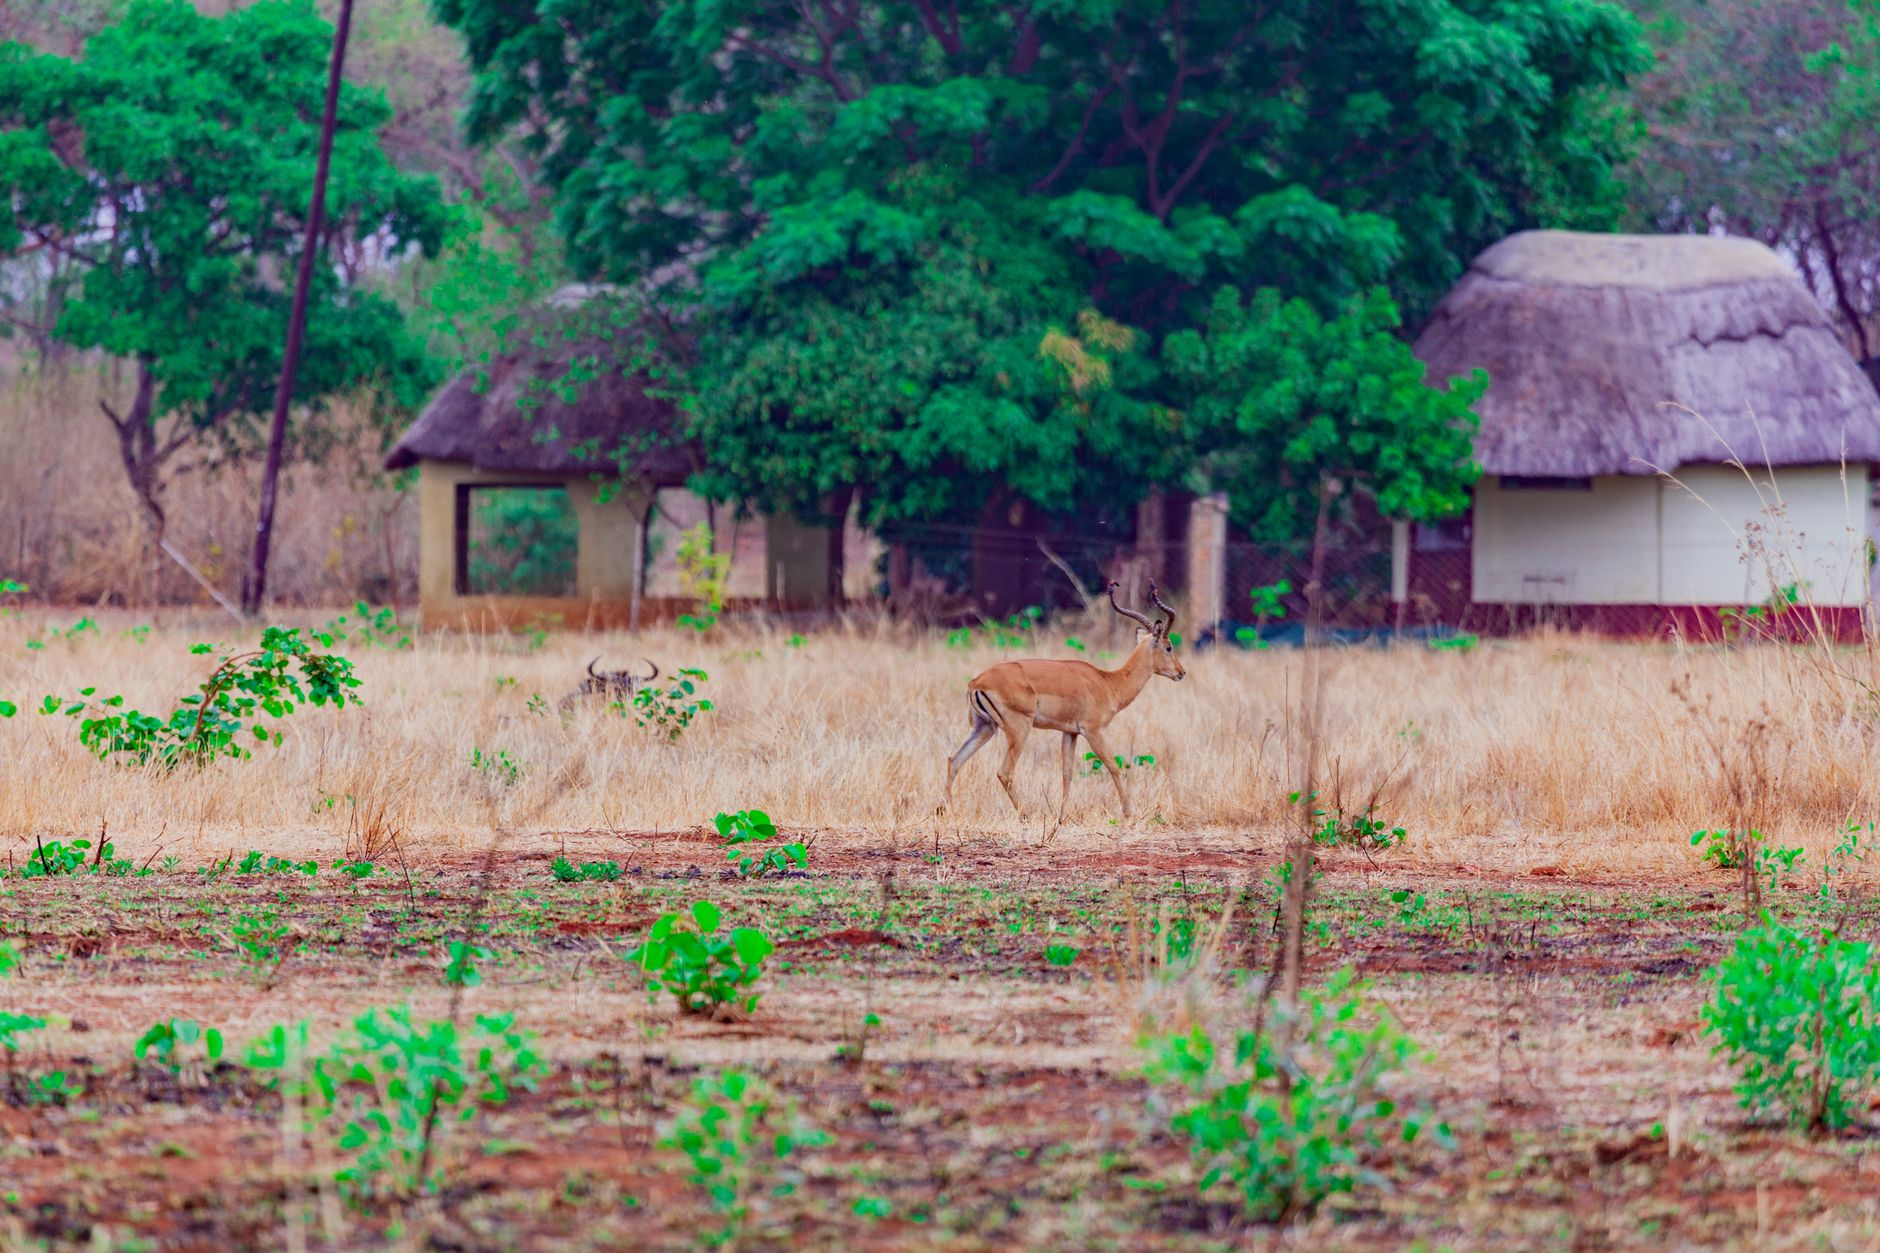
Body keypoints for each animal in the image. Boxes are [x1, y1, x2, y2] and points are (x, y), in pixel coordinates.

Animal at [938, 580, 1185, 835]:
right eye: (1169, 646)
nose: (1181, 672)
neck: (1108, 682)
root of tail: (977, 681)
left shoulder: (1069, 733)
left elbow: (1067, 774)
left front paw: (1061, 819)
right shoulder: (1093, 731)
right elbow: (1113, 766)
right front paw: (1129, 815)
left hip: (984, 728)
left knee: (953, 760)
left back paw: (943, 812)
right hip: (1019, 729)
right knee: (1004, 772)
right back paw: (1026, 815)